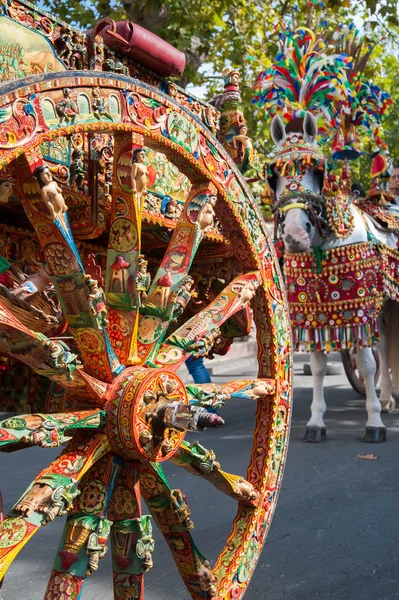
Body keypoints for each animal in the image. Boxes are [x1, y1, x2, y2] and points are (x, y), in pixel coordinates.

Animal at [270, 111, 398, 440]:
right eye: (273, 175)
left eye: (316, 171)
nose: (295, 234)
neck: (323, 244)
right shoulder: (313, 316)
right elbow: (317, 366)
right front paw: (316, 423)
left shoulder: (358, 312)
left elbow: (366, 365)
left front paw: (374, 423)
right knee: (386, 345)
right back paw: (388, 398)